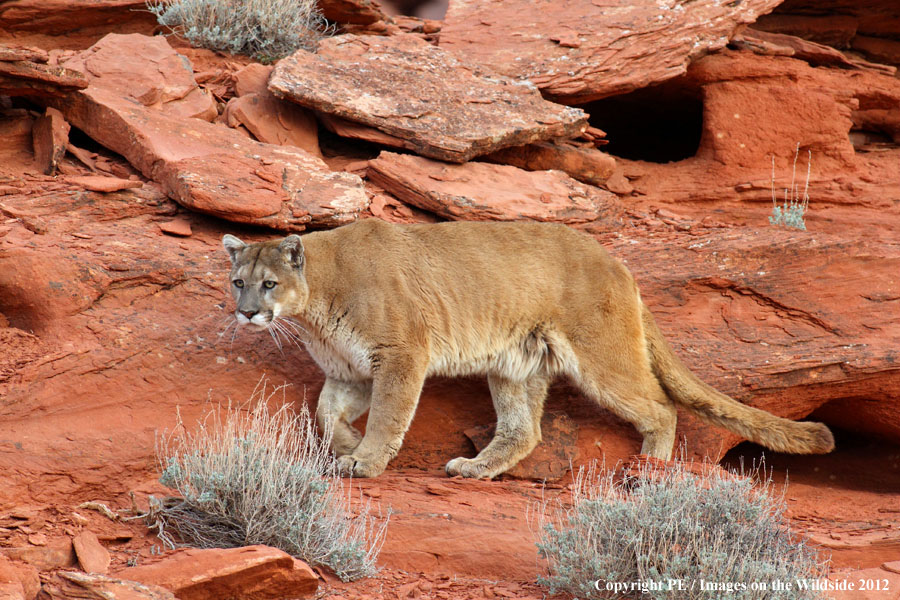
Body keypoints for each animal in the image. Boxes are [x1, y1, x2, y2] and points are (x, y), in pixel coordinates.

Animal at [223, 219, 833, 478]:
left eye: (269, 283)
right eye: (238, 282)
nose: (247, 312)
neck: (317, 303)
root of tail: (618, 263)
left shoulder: (400, 355)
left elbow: (390, 415)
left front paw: (364, 461)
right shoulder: (352, 370)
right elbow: (326, 412)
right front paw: (347, 445)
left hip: (600, 356)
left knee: (660, 405)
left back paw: (650, 471)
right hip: (516, 365)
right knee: (524, 429)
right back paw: (476, 469)